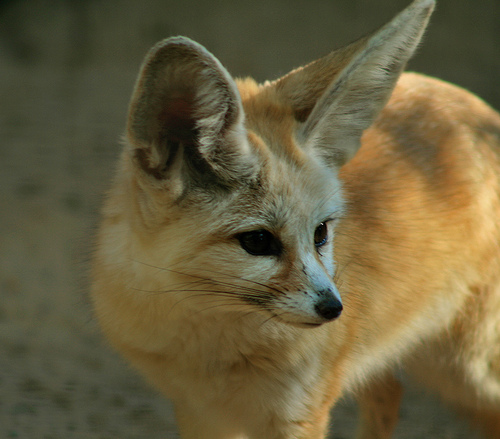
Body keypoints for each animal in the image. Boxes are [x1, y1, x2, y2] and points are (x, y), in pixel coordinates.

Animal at [90, 1, 500, 438]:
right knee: (389, 393)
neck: (209, 344)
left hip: (466, 371)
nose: (334, 309)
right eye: (257, 241)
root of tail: (482, 114)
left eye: (320, 232)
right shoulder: (199, 411)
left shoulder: (299, 414)